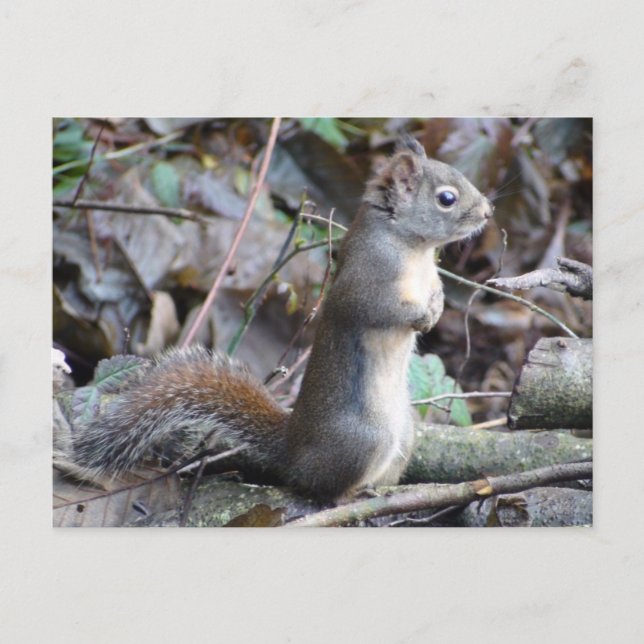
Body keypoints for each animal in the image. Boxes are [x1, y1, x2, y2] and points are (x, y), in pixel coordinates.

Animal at [70, 138, 493, 503]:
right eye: (447, 198)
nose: (488, 212)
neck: (414, 249)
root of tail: (292, 450)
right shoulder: (368, 279)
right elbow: (380, 311)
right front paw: (421, 317)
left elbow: (436, 291)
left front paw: (437, 307)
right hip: (365, 440)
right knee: (320, 489)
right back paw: (351, 495)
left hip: (404, 438)